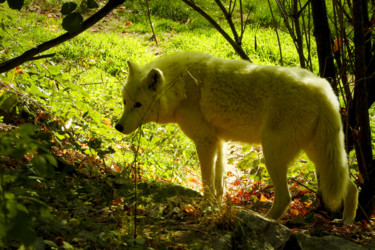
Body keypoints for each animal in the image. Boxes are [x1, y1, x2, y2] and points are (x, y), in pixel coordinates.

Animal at [116, 51, 360, 223]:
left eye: (139, 105)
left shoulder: (205, 142)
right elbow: (219, 183)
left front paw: (205, 208)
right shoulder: (218, 143)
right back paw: (346, 221)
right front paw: (216, 207)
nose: (118, 126)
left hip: (273, 154)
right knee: (351, 186)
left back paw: (266, 220)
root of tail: (324, 89)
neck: (181, 87)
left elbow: (207, 182)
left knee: (285, 198)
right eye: (125, 102)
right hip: (320, 156)